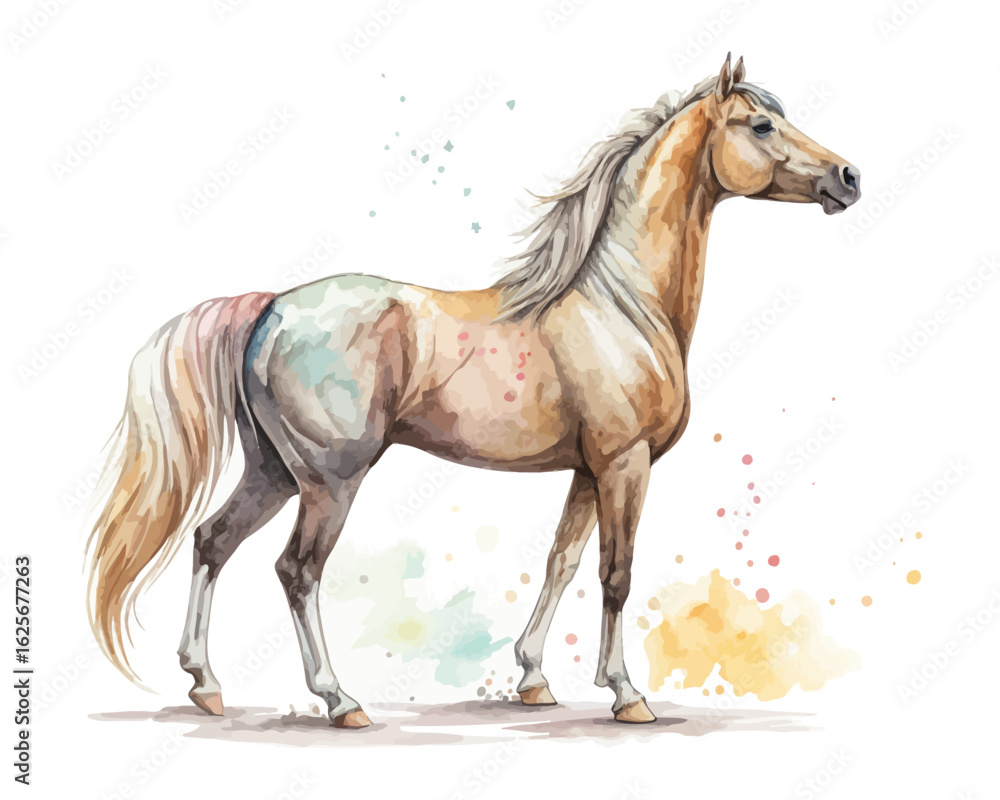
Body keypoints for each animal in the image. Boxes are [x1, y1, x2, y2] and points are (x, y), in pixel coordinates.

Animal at [86, 54, 860, 728]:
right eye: (760, 125)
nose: (848, 177)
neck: (622, 304)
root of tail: (271, 308)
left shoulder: (588, 470)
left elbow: (561, 562)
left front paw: (534, 680)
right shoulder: (625, 464)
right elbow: (615, 574)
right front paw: (627, 695)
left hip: (274, 471)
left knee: (212, 541)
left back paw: (206, 686)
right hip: (330, 481)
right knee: (295, 570)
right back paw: (340, 702)